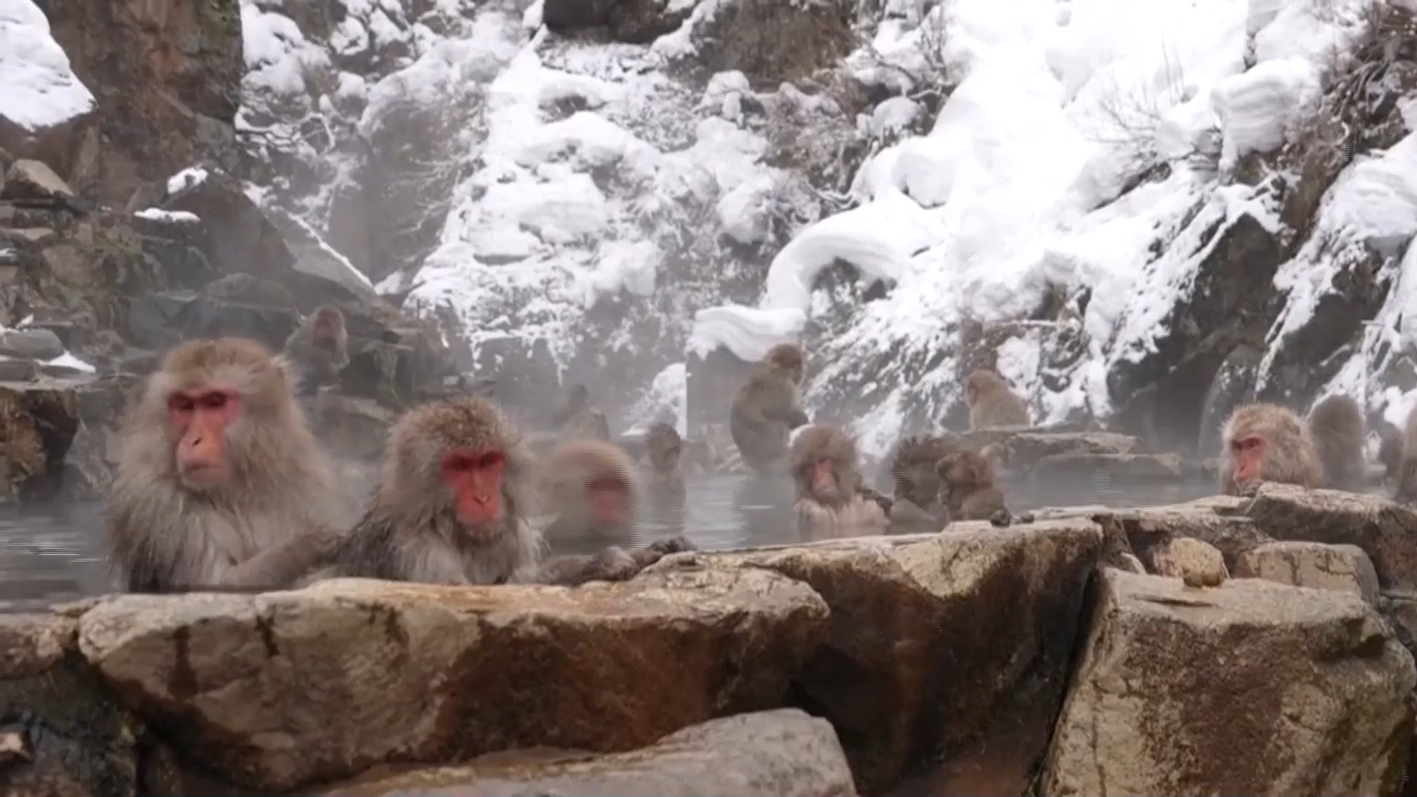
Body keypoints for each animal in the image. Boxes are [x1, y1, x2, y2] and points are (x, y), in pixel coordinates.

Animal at [105, 334, 354, 589]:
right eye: (184, 405)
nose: (193, 440)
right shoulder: (155, 502)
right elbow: (213, 584)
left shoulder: (310, 479)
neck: (237, 490)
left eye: (215, 401)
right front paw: (309, 545)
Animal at [331, 391, 685, 584]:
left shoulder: (515, 538)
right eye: (458, 466)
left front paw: (648, 551)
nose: (483, 497)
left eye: (488, 461)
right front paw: (598, 562)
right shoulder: (420, 554)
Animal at [731, 340, 810, 470]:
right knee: (773, 425)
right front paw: (800, 419)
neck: (777, 373)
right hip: (763, 444)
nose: (800, 375)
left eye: (799, 365)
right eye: (795, 366)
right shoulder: (781, 390)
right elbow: (773, 411)